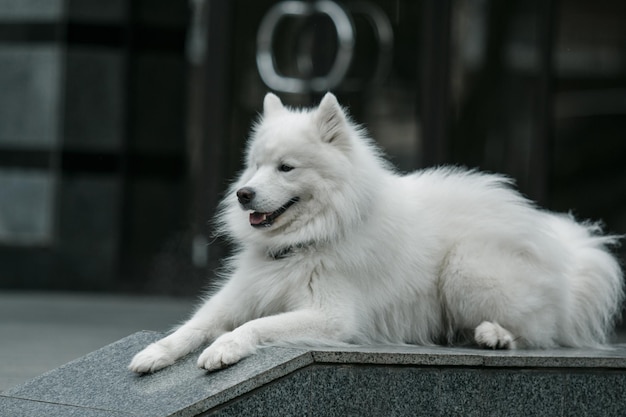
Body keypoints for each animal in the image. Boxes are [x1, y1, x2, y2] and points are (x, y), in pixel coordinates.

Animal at [129, 92, 620, 372]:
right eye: (254, 165)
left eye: (286, 168)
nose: (243, 195)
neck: (302, 244)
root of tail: (564, 259)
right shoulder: (238, 295)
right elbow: (193, 326)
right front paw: (155, 354)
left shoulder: (332, 315)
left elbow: (256, 325)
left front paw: (225, 349)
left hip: (466, 270)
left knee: (539, 331)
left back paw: (494, 336)